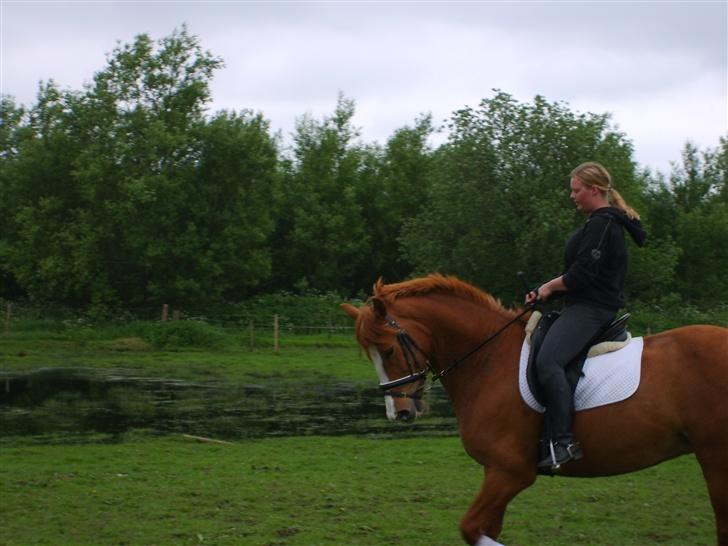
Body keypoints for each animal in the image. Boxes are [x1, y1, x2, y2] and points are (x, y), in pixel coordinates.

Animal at [342, 274, 728, 544]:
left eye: (387, 350)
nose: (399, 412)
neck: (489, 359)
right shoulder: (496, 472)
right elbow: (484, 530)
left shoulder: (511, 472)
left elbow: (471, 528)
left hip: (716, 457)